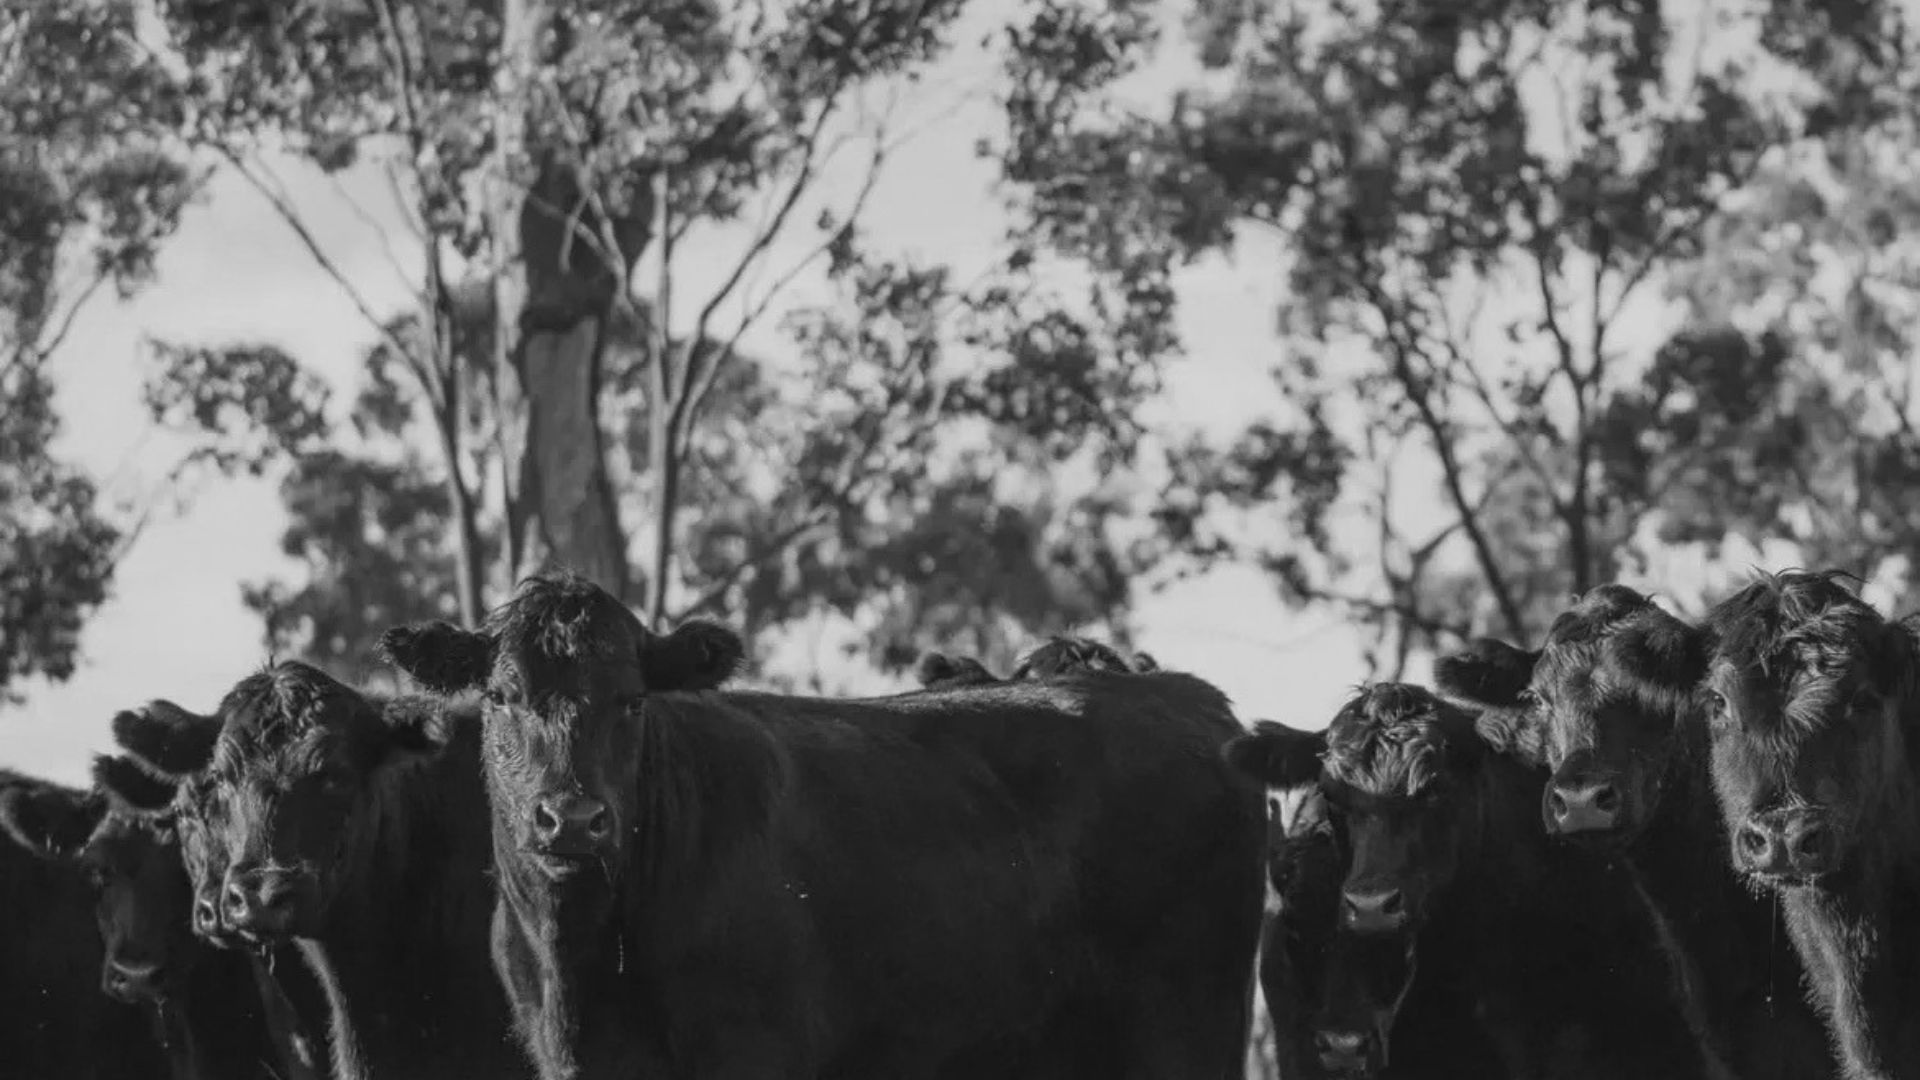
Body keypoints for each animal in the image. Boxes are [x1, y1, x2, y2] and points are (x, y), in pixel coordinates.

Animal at [379, 572, 1265, 1080]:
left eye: (631, 700)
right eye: (502, 697)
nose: (574, 818)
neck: (583, 954)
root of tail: (1189, 696)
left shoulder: (753, 1052)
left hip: (1186, 1025)